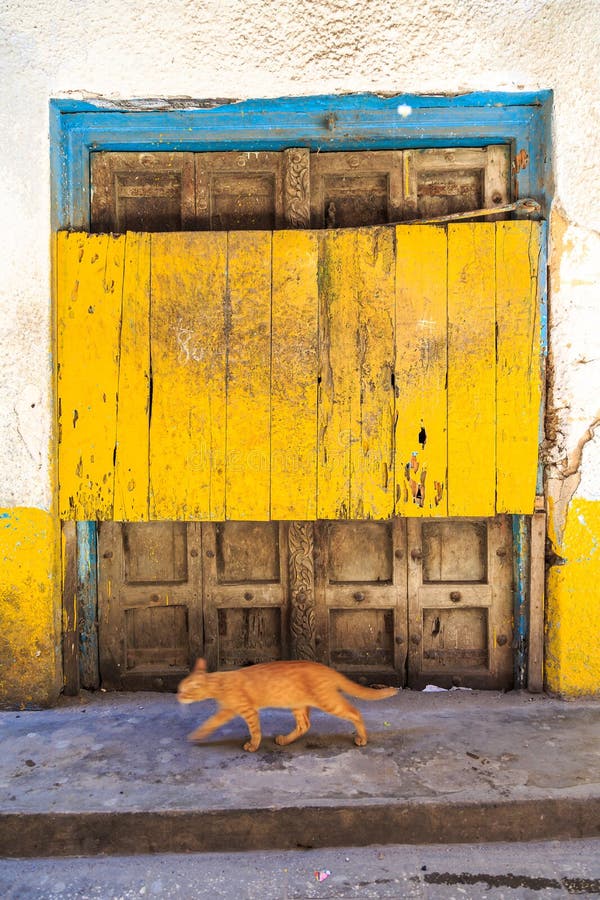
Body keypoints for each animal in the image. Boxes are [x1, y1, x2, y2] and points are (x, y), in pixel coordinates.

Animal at [176, 660, 396, 752]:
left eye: (184, 691)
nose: (178, 697)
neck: (219, 682)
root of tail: (325, 667)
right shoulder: (228, 710)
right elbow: (211, 723)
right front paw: (198, 735)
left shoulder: (247, 710)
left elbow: (254, 730)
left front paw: (253, 745)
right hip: (297, 703)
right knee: (304, 725)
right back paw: (285, 740)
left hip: (329, 702)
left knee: (355, 712)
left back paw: (362, 738)